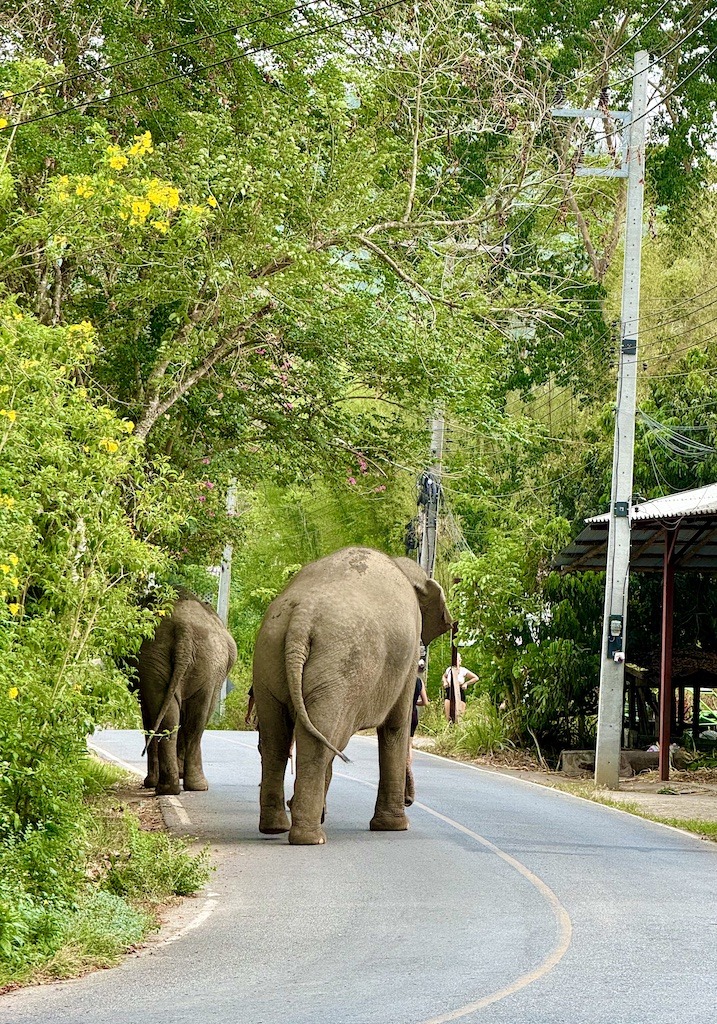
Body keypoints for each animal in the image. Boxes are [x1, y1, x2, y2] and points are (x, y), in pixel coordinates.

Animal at [134, 593, 235, 798]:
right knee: (193, 720)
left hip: (168, 660)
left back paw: (170, 787)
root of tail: (184, 629)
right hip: (199, 662)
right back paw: (177, 787)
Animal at [252, 548, 452, 843]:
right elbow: (397, 726)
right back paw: (311, 837)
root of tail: (302, 616)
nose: (409, 800)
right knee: (323, 741)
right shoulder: (408, 659)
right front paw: (395, 827)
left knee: (276, 739)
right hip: (341, 671)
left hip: (268, 657)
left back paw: (276, 827)